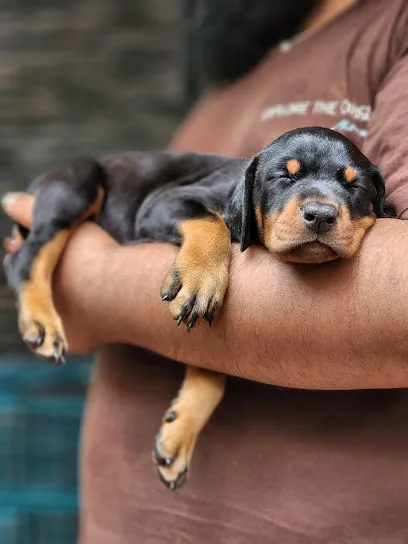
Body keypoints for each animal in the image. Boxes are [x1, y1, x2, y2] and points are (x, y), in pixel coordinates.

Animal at [1, 127, 394, 488]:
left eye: (355, 186)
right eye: (284, 176)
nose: (320, 215)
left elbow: (211, 365)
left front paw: (179, 434)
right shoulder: (167, 202)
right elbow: (210, 220)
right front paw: (202, 276)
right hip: (78, 182)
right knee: (27, 256)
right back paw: (41, 321)